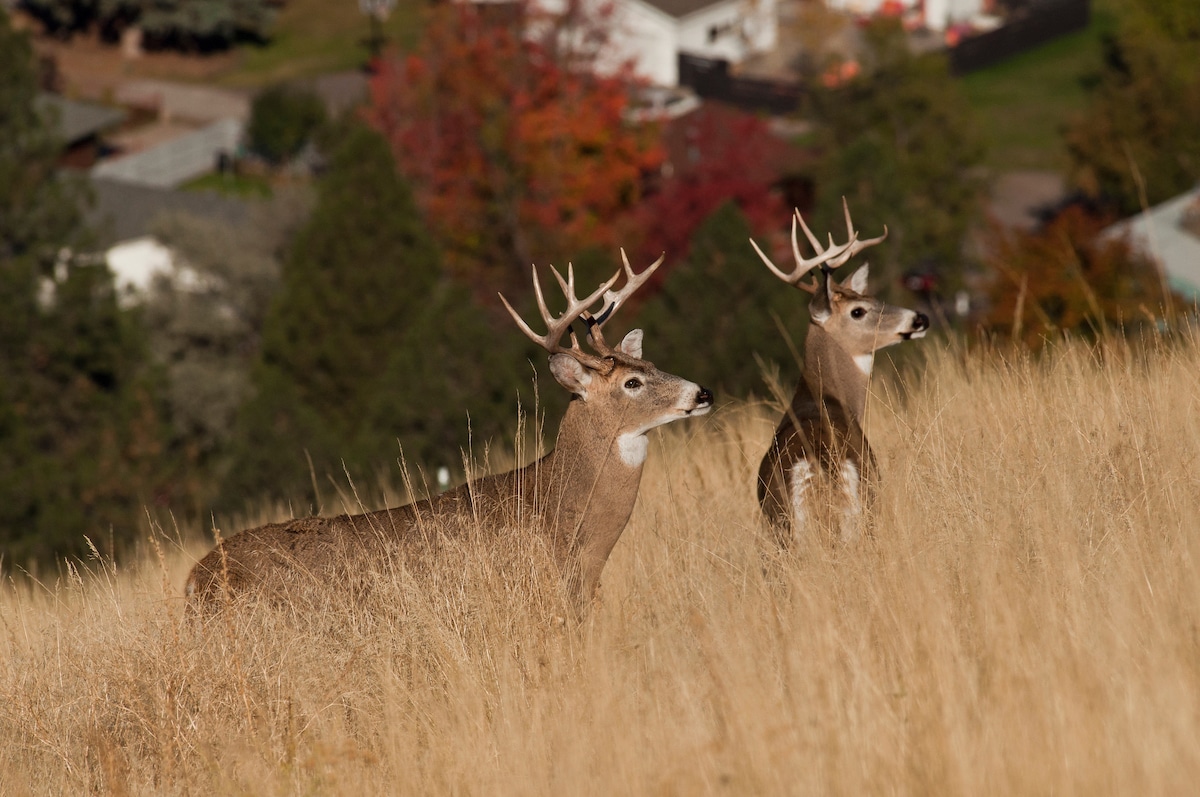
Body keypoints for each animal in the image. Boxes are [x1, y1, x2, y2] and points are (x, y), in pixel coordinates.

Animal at [748, 202, 926, 544]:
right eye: (859, 311)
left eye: (871, 298)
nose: (920, 318)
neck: (824, 394)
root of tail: (819, 464)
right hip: (861, 505)